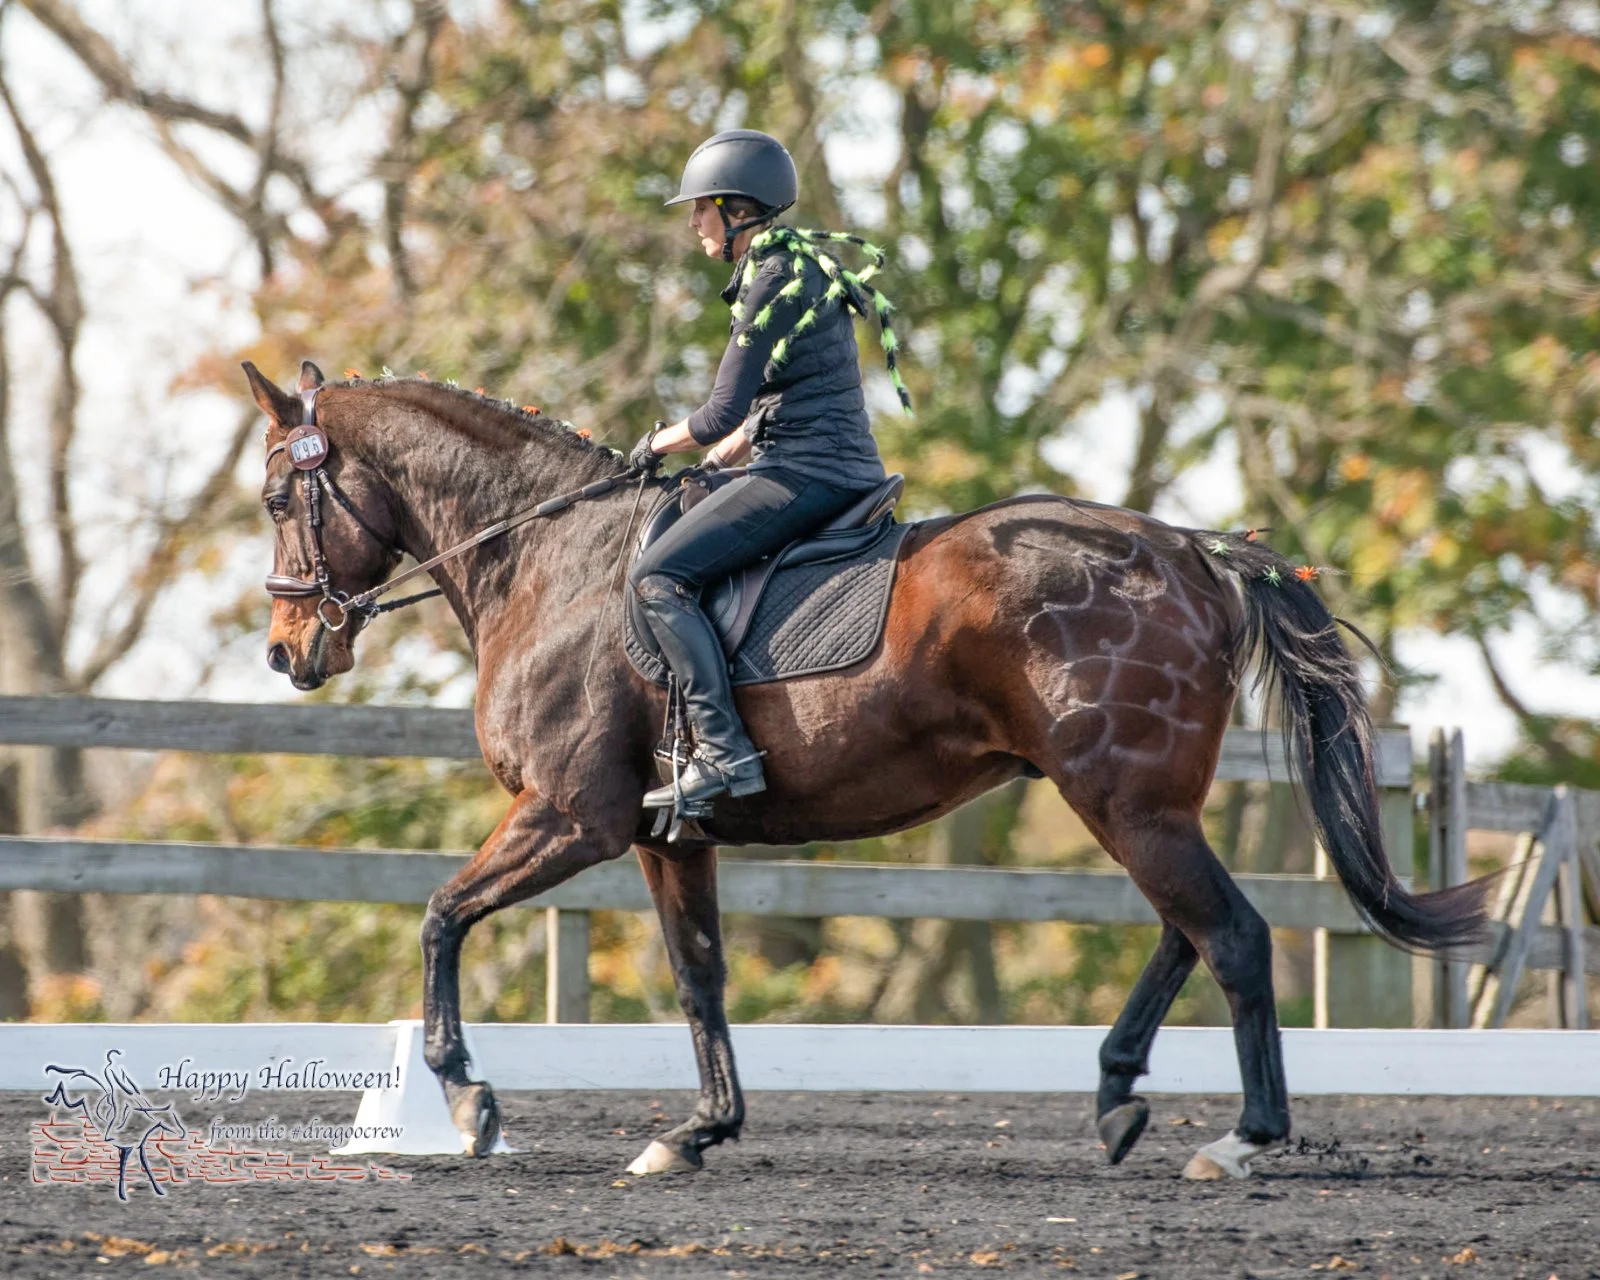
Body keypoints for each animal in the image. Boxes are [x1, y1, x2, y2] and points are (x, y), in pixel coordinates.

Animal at [245, 359, 1486, 1180]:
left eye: (273, 497)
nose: (290, 651)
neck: (552, 560)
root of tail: (1186, 548)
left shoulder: (569, 815)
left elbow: (440, 915)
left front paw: (467, 1097)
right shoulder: (663, 834)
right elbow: (699, 976)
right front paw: (697, 1130)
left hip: (1124, 798)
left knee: (1228, 933)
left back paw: (1238, 1137)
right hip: (1136, 800)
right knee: (1189, 928)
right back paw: (1115, 1092)